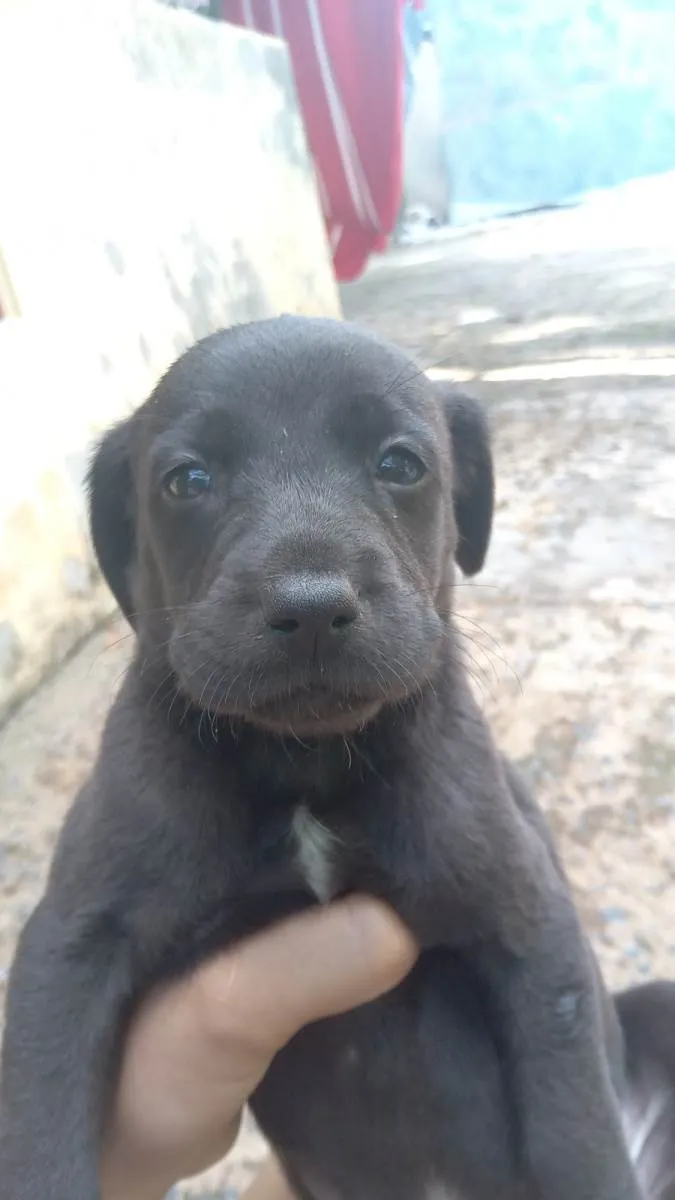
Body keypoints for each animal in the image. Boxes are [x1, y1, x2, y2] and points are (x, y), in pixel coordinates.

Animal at [1, 319, 672, 1200]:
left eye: (400, 464)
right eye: (187, 480)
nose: (312, 607)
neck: (304, 764)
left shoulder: (531, 930)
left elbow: (578, 1135)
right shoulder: (72, 944)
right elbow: (40, 1130)